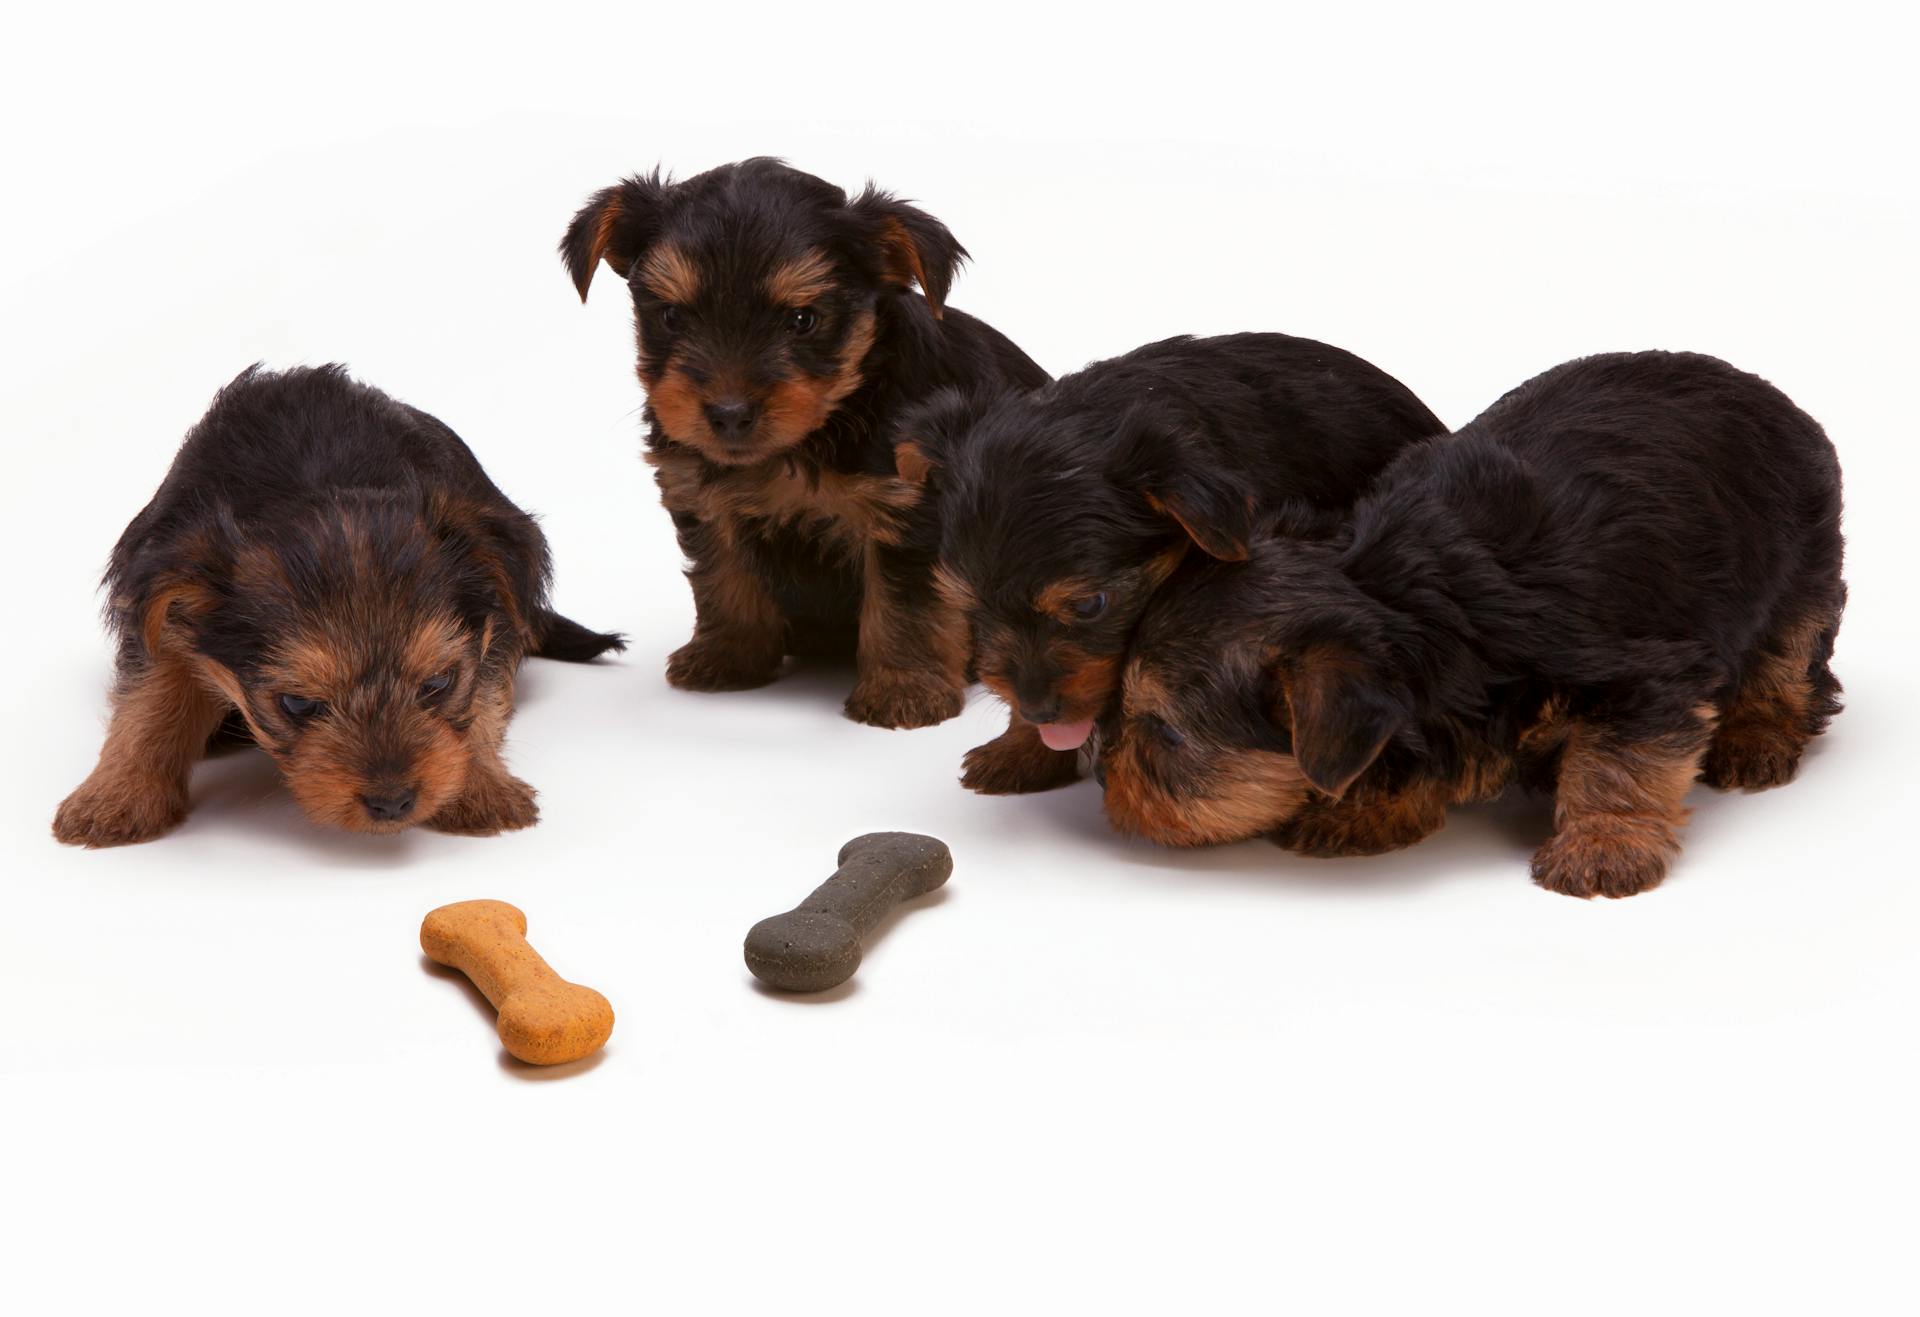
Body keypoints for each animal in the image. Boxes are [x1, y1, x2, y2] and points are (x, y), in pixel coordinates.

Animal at [52, 366, 622, 852]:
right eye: (297, 704)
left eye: (438, 683)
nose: (392, 803)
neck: (318, 478)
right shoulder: (162, 605)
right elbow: (147, 701)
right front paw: (116, 796)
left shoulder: (495, 615)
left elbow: (483, 696)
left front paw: (481, 786)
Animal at [560, 158, 1052, 733]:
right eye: (672, 317)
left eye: (802, 320)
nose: (729, 413)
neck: (812, 434)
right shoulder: (703, 497)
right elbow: (722, 577)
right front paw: (728, 656)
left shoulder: (908, 510)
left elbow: (907, 603)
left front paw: (903, 690)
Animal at [1105, 355, 1850, 902]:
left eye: (1167, 734)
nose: (1104, 771)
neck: (1402, 594)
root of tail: (1762, 388)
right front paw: (1365, 809)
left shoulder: (1647, 677)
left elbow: (1621, 762)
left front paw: (1602, 847)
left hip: (1804, 562)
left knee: (1789, 659)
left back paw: (1758, 738)